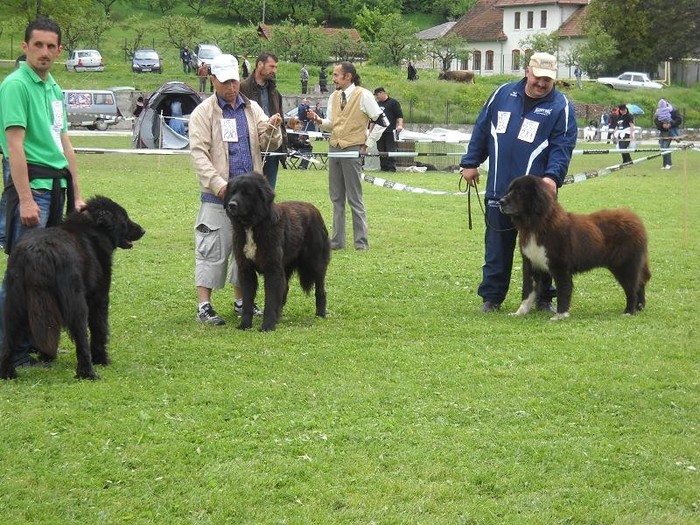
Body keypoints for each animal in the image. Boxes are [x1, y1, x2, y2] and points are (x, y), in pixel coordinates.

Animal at [0, 194, 145, 378]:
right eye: (124, 219)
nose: (143, 230)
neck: (93, 229)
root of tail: (38, 253)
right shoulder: (100, 297)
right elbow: (100, 329)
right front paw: (102, 359)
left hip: (14, 304)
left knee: (8, 340)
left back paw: (8, 373)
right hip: (76, 304)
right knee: (82, 340)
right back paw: (88, 373)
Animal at [498, 175, 652, 320]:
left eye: (519, 192)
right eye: (509, 190)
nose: (500, 201)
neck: (537, 224)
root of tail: (636, 220)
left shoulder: (561, 267)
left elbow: (563, 291)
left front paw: (560, 315)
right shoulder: (531, 264)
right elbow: (527, 292)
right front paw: (519, 313)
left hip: (624, 266)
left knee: (632, 288)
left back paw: (629, 311)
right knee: (639, 284)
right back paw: (639, 307)